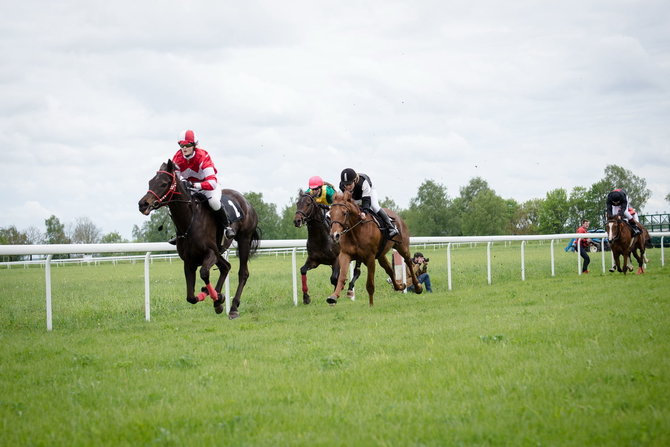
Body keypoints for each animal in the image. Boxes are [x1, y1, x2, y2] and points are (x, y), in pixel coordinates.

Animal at [138, 161, 260, 318]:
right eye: (150, 182)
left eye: (164, 183)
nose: (143, 204)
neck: (189, 222)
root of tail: (246, 201)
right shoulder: (189, 260)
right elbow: (190, 297)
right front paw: (216, 297)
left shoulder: (211, 253)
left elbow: (204, 273)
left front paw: (217, 297)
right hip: (220, 250)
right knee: (226, 267)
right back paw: (216, 298)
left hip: (244, 239)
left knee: (242, 273)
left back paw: (233, 307)